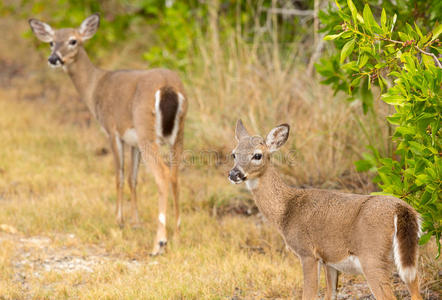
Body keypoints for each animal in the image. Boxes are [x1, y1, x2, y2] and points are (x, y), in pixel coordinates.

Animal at [28, 12, 188, 254]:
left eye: (73, 40)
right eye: (51, 42)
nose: (53, 58)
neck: (95, 87)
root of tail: (169, 87)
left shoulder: (112, 130)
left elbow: (119, 177)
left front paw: (119, 221)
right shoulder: (132, 140)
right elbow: (133, 179)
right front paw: (136, 222)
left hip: (146, 130)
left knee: (162, 175)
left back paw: (159, 243)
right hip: (177, 134)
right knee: (175, 175)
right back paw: (177, 236)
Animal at [230, 120, 424, 300]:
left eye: (257, 155)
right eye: (234, 154)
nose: (234, 174)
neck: (286, 209)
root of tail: (401, 209)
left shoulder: (307, 252)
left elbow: (309, 295)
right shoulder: (329, 261)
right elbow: (330, 294)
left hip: (372, 257)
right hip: (408, 257)